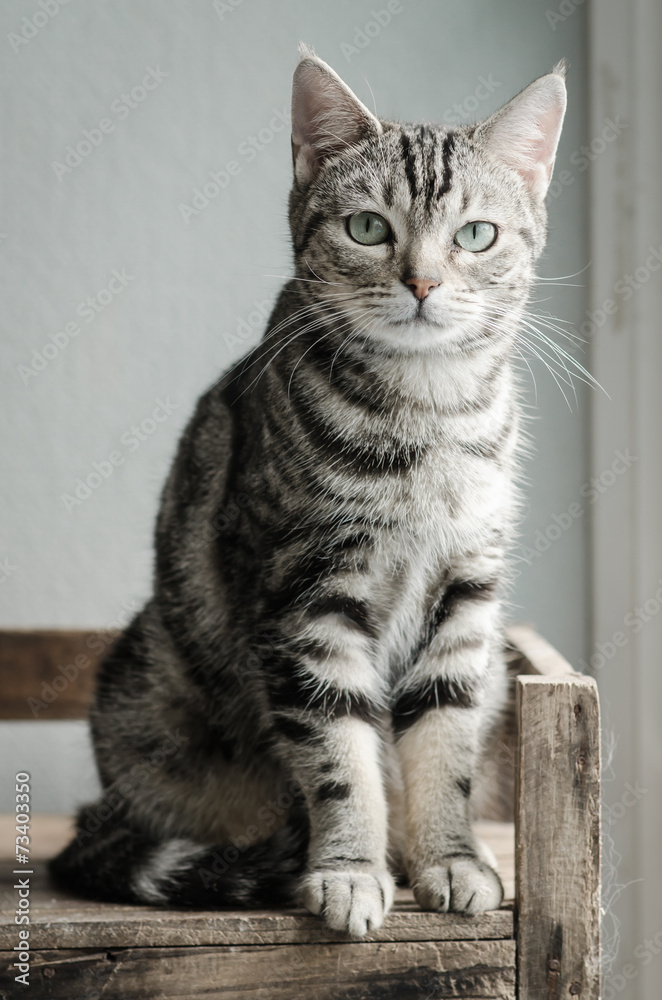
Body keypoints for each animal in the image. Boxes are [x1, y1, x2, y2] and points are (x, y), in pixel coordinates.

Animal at [53, 47, 572, 936]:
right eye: (368, 228)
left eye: (477, 235)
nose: (423, 283)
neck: (429, 417)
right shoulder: (306, 598)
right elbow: (338, 755)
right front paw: (350, 869)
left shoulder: (468, 598)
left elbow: (446, 744)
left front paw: (450, 858)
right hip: (145, 694)